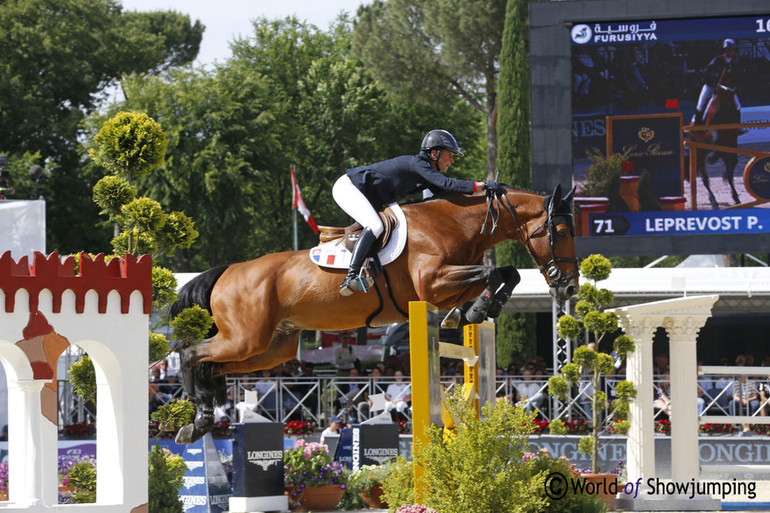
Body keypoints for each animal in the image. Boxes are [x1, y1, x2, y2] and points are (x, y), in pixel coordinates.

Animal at [170, 182, 576, 442]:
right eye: (560, 230)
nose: (568, 286)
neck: (456, 223)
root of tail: (227, 271)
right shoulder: (432, 284)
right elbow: (494, 273)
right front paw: (474, 310)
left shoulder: (446, 284)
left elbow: (506, 273)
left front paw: (474, 311)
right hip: (245, 337)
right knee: (191, 354)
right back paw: (197, 419)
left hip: (271, 348)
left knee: (212, 365)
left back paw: (201, 417)